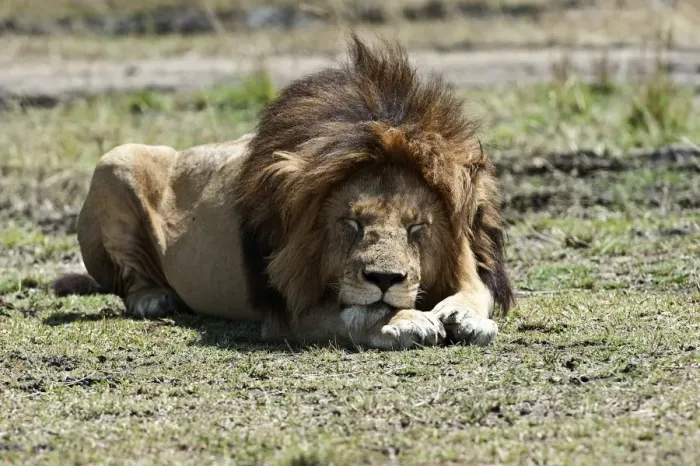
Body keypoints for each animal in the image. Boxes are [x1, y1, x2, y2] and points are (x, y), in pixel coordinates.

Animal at [52, 35, 514, 350]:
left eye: (417, 228)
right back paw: (153, 298)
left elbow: (477, 291)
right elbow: (355, 312)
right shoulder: (289, 310)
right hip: (116, 160)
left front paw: (466, 317)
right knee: (128, 279)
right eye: (350, 222)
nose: (385, 279)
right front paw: (405, 320)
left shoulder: (467, 253)